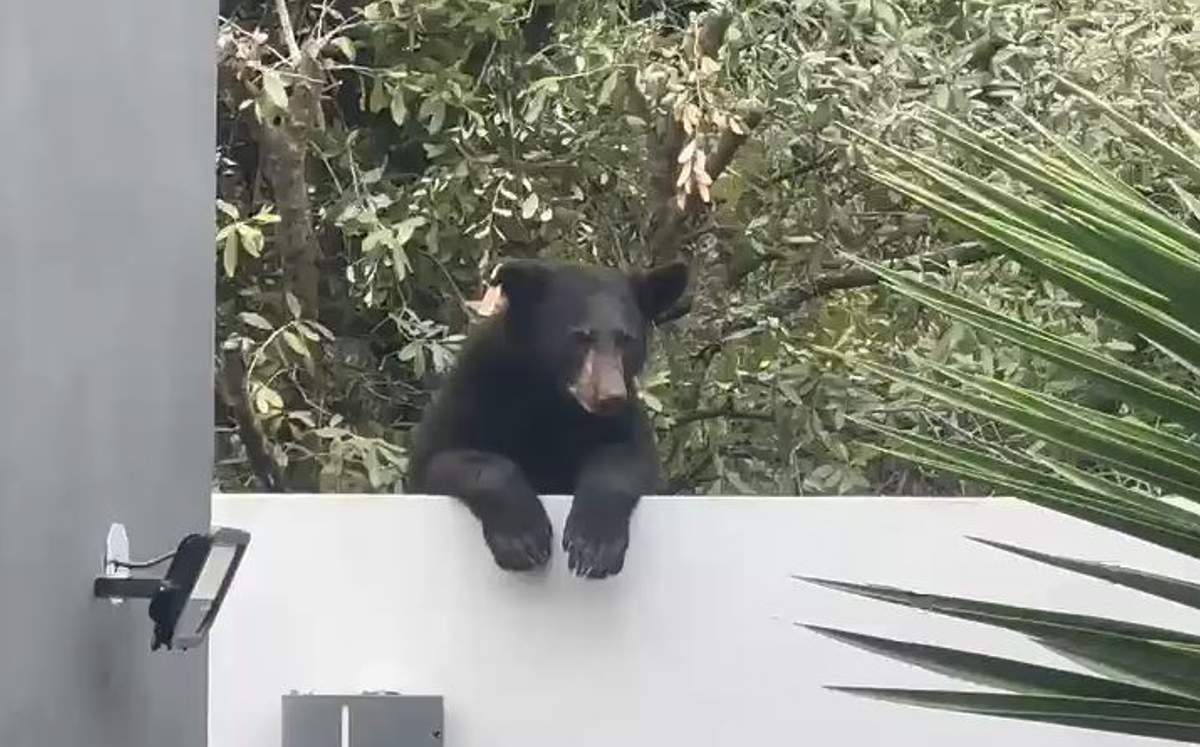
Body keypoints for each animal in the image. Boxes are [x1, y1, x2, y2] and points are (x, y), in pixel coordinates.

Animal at [407, 257, 689, 579]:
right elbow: (437, 459)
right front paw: (522, 539)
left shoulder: (622, 419)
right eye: (580, 336)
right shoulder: (476, 389)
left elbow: (632, 458)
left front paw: (594, 546)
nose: (610, 396)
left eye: (626, 340)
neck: (553, 400)